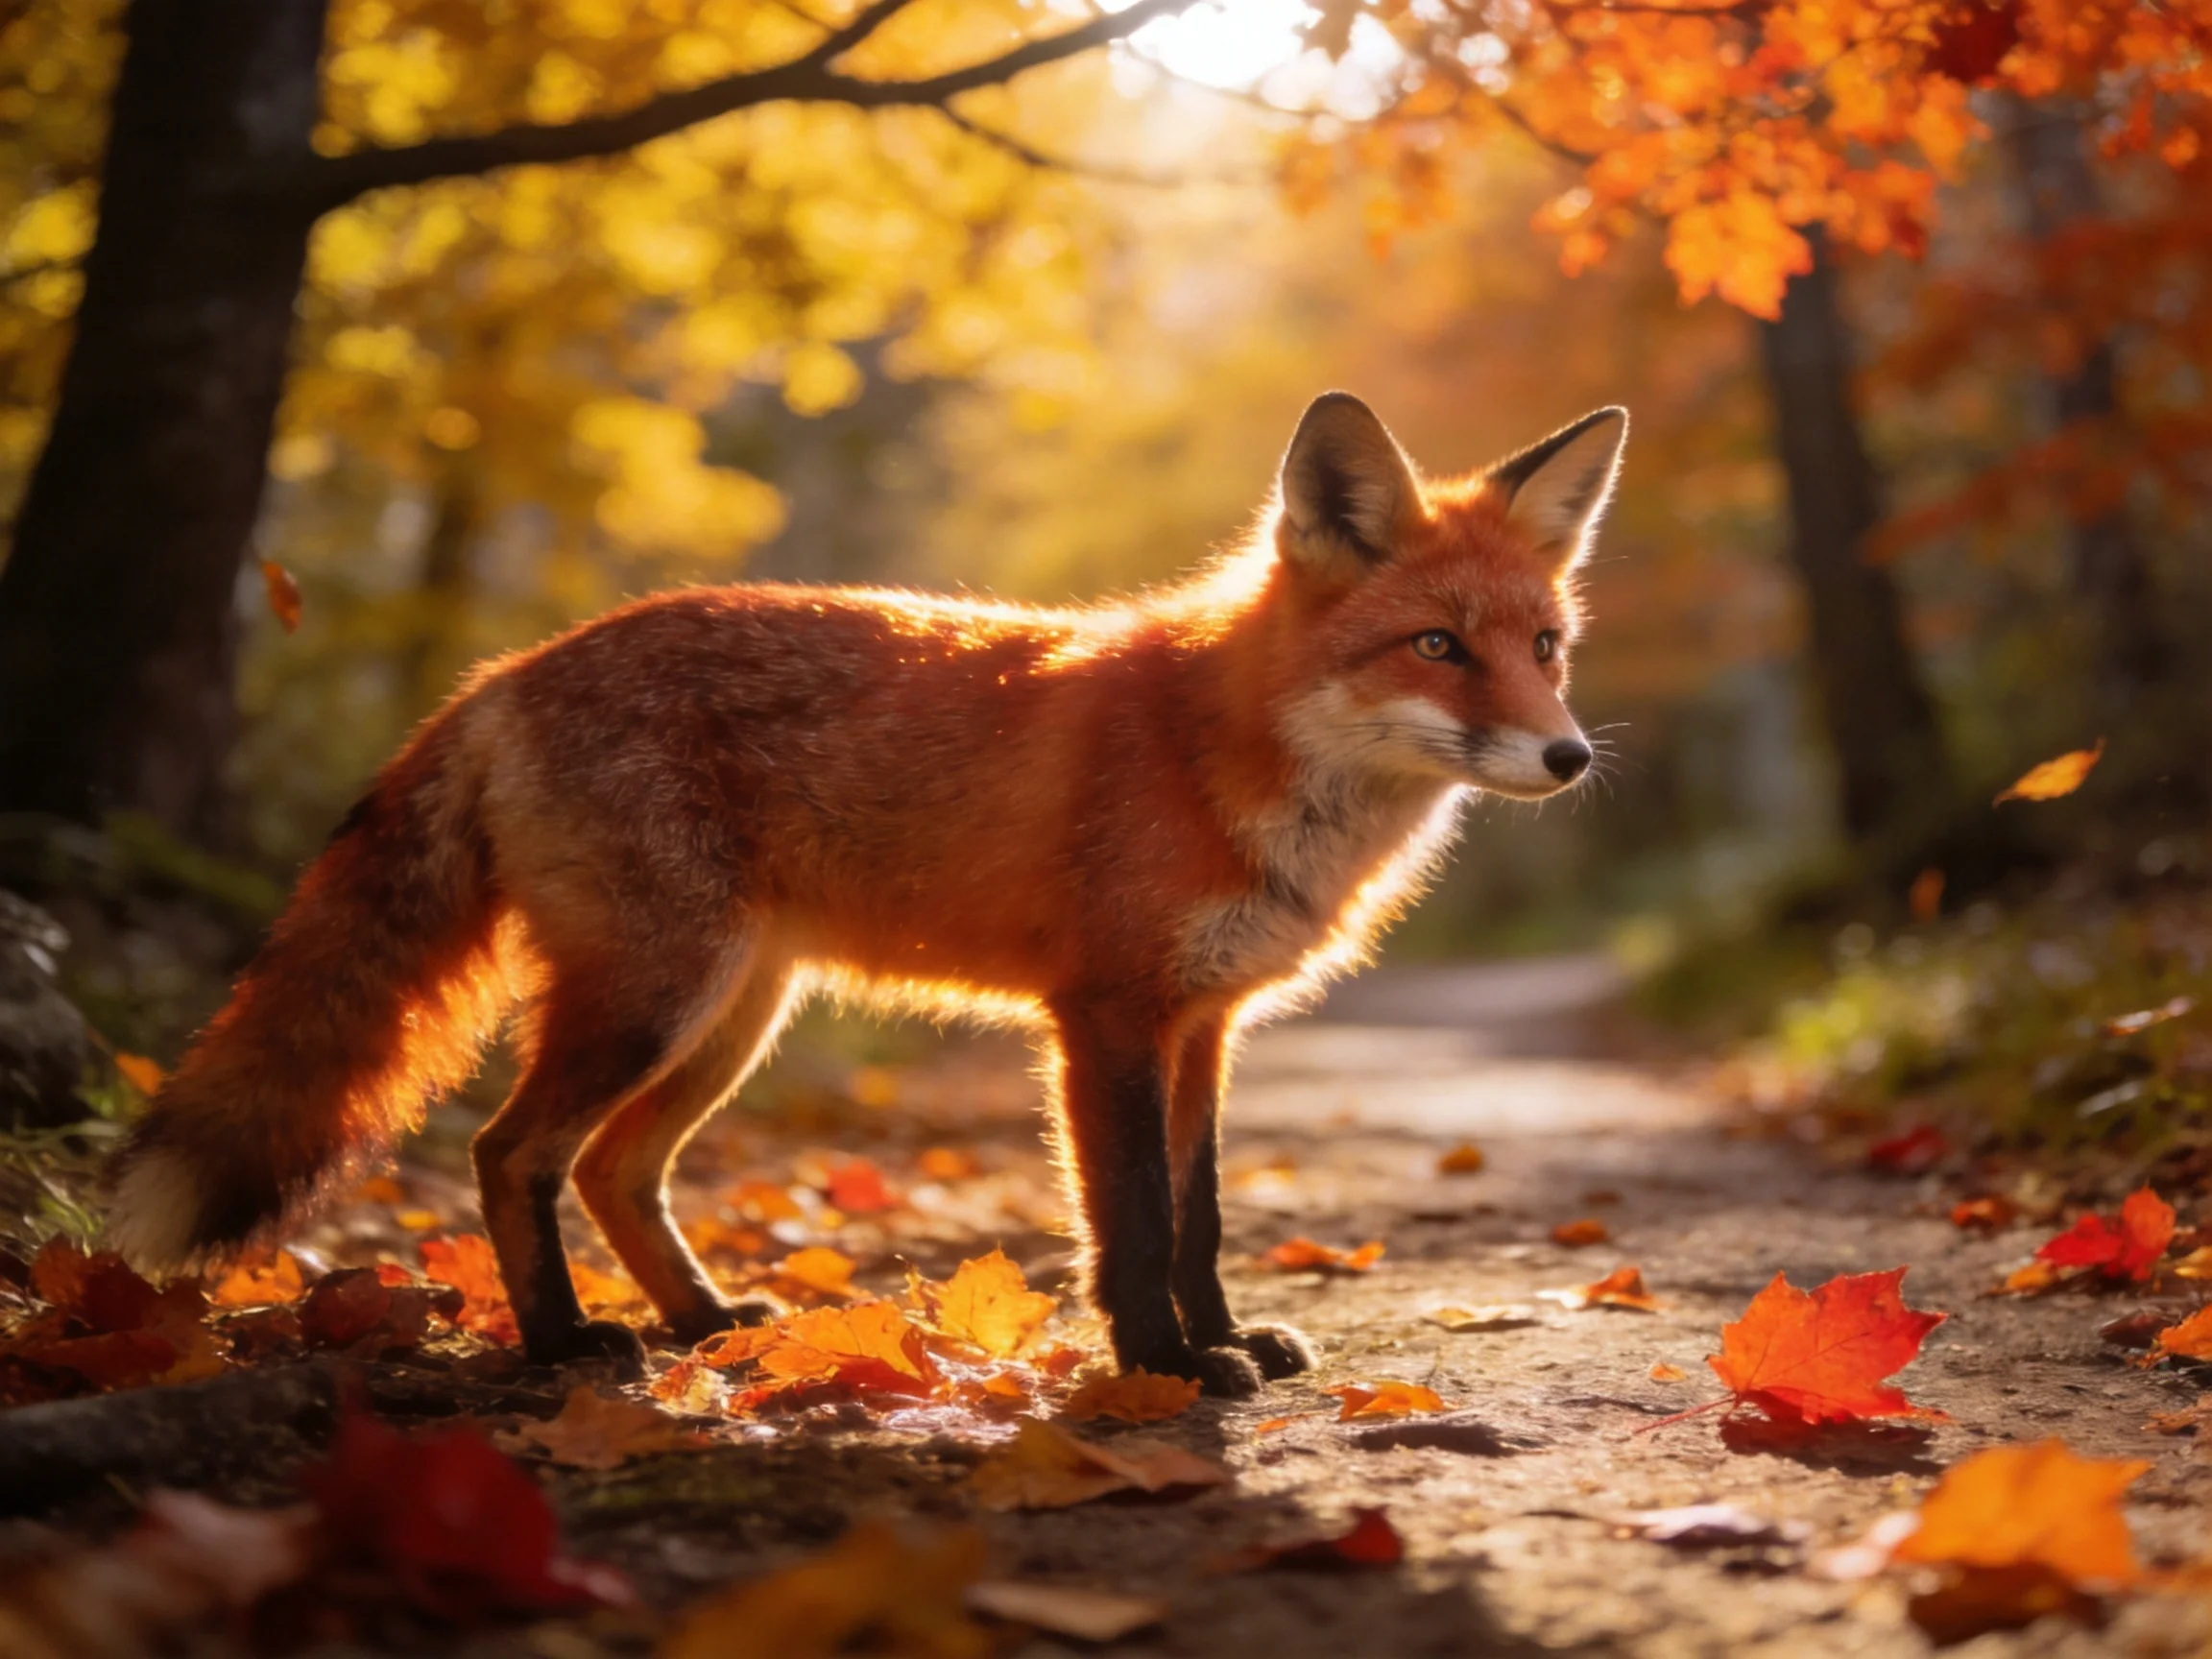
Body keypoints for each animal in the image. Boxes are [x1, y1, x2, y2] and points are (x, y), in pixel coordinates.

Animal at [105, 392, 1625, 1394]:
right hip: (658, 998)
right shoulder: (1104, 1018)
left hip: (731, 1016)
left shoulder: (1204, 1027)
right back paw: (561, 1344)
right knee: (510, 1152)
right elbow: (1131, 1221)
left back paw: (704, 1323)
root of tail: (503, 675)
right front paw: (1163, 1367)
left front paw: (1222, 1336)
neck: (1226, 753)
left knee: (611, 1168)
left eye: (1547, 646)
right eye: (1437, 647)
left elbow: (1197, 1218)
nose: (1571, 756)